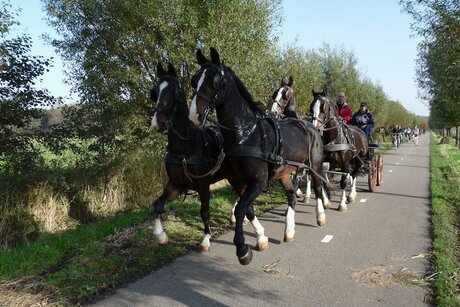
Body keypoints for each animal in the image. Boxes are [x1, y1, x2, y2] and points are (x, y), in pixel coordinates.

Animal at [151, 62, 230, 253]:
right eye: (155, 92)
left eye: (173, 91)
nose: (158, 123)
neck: (185, 150)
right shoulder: (177, 184)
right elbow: (158, 205)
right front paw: (161, 236)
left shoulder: (203, 185)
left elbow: (205, 212)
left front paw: (206, 239)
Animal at [189, 48, 326, 264]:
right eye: (194, 80)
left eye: (216, 81)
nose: (194, 115)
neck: (244, 135)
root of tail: (310, 126)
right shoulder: (238, 181)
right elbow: (246, 208)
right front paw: (261, 238)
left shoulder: (259, 181)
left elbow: (241, 208)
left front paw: (242, 249)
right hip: (284, 172)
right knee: (291, 195)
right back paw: (289, 230)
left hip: (315, 165)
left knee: (319, 187)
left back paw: (320, 216)